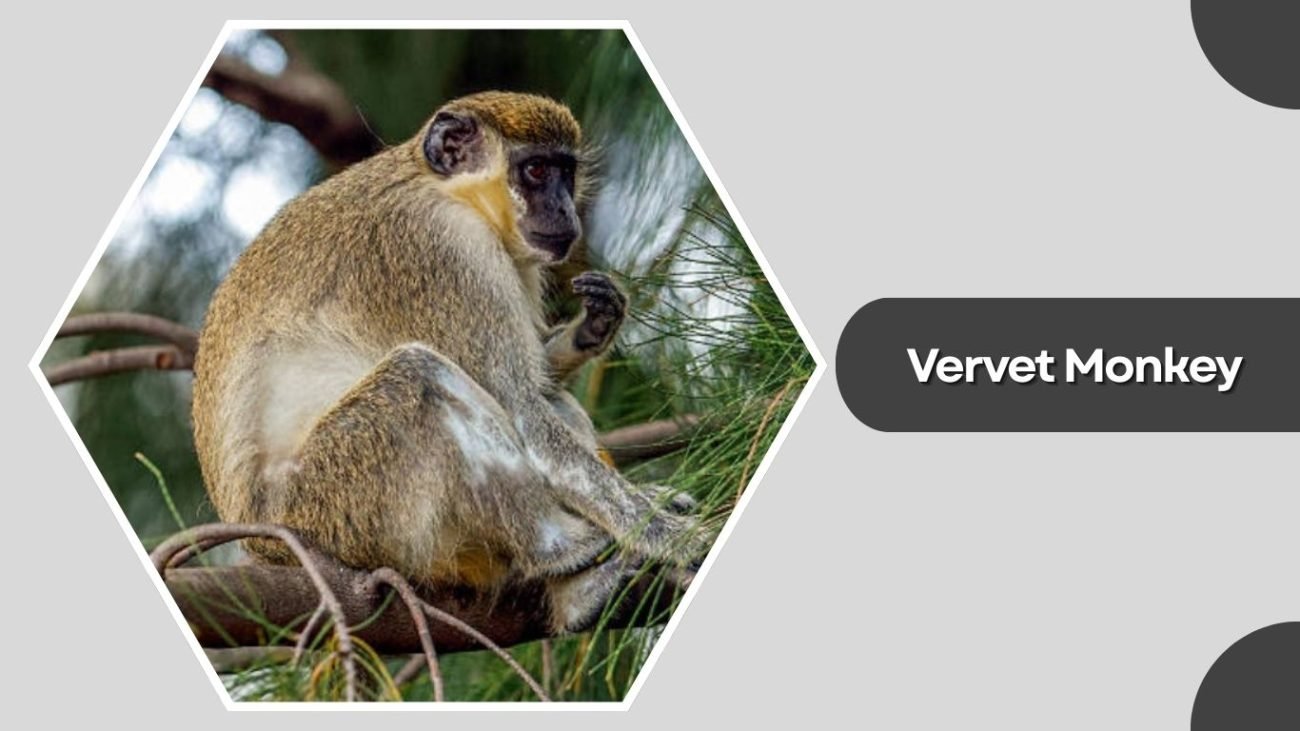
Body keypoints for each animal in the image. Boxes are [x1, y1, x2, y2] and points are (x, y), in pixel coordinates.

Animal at [191, 91, 709, 633]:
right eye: (537, 170)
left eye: (566, 173)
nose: (567, 211)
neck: (449, 191)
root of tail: (265, 544)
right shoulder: (445, 248)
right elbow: (525, 412)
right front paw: (666, 534)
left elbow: (537, 384)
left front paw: (593, 326)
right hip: (333, 506)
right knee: (421, 378)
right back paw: (563, 552)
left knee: (547, 398)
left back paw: (580, 596)